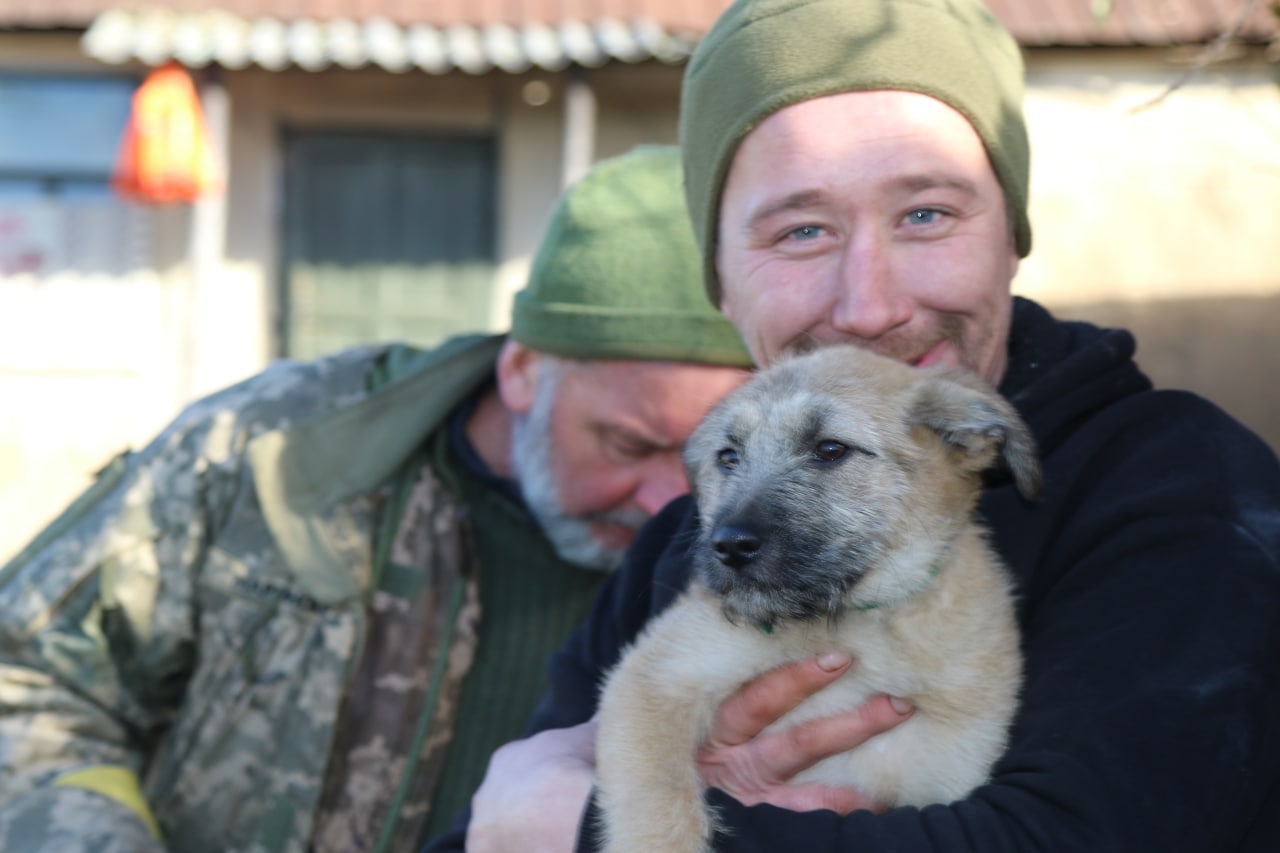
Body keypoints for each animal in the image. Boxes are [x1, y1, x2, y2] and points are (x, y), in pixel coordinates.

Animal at [595, 344, 1040, 853]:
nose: (729, 545)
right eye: (728, 457)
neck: (855, 625)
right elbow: (658, 804)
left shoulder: (946, 766)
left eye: (830, 450)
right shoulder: (656, 681)